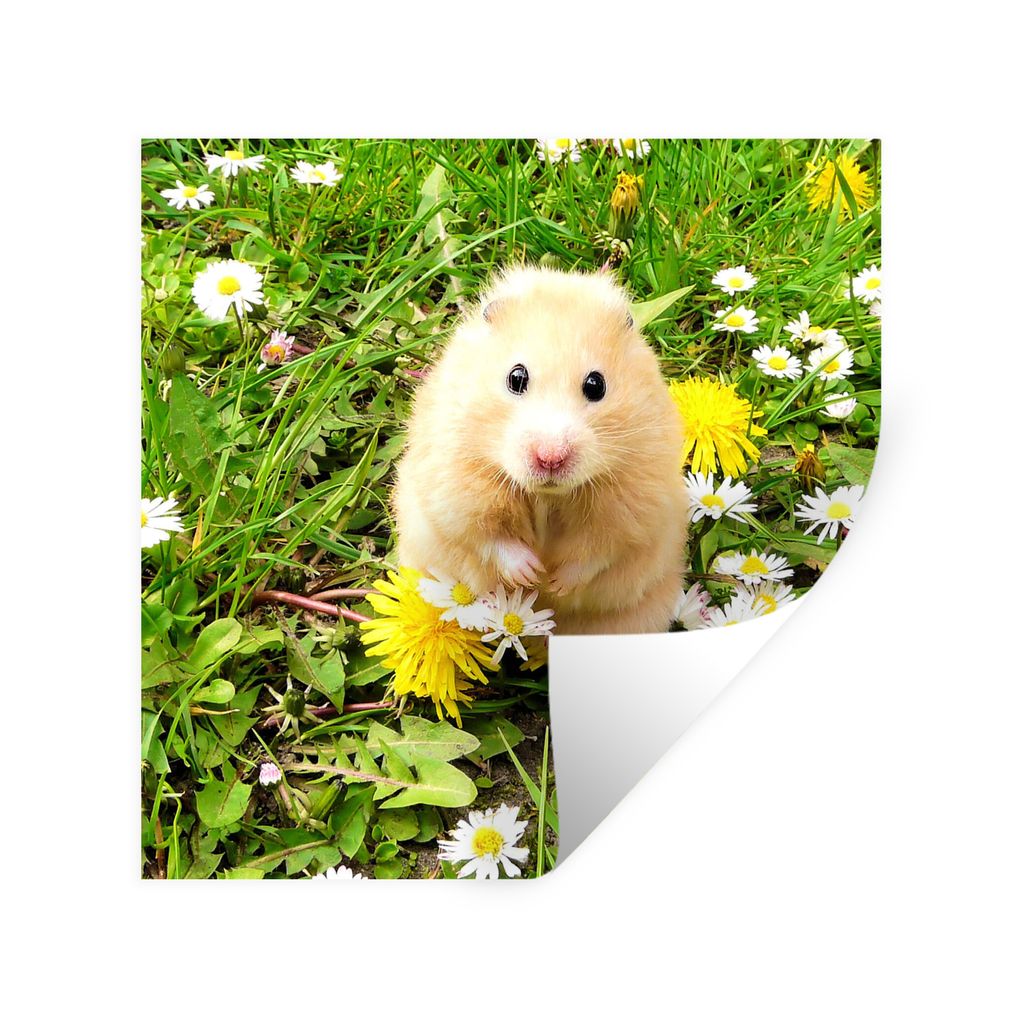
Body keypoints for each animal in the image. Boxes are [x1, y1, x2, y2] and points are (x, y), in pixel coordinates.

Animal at [393, 265, 689, 635]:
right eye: (516, 378)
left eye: (596, 385)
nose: (551, 458)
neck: (548, 496)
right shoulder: (456, 482)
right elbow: (487, 535)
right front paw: (531, 575)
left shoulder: (632, 505)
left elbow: (598, 550)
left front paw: (555, 585)